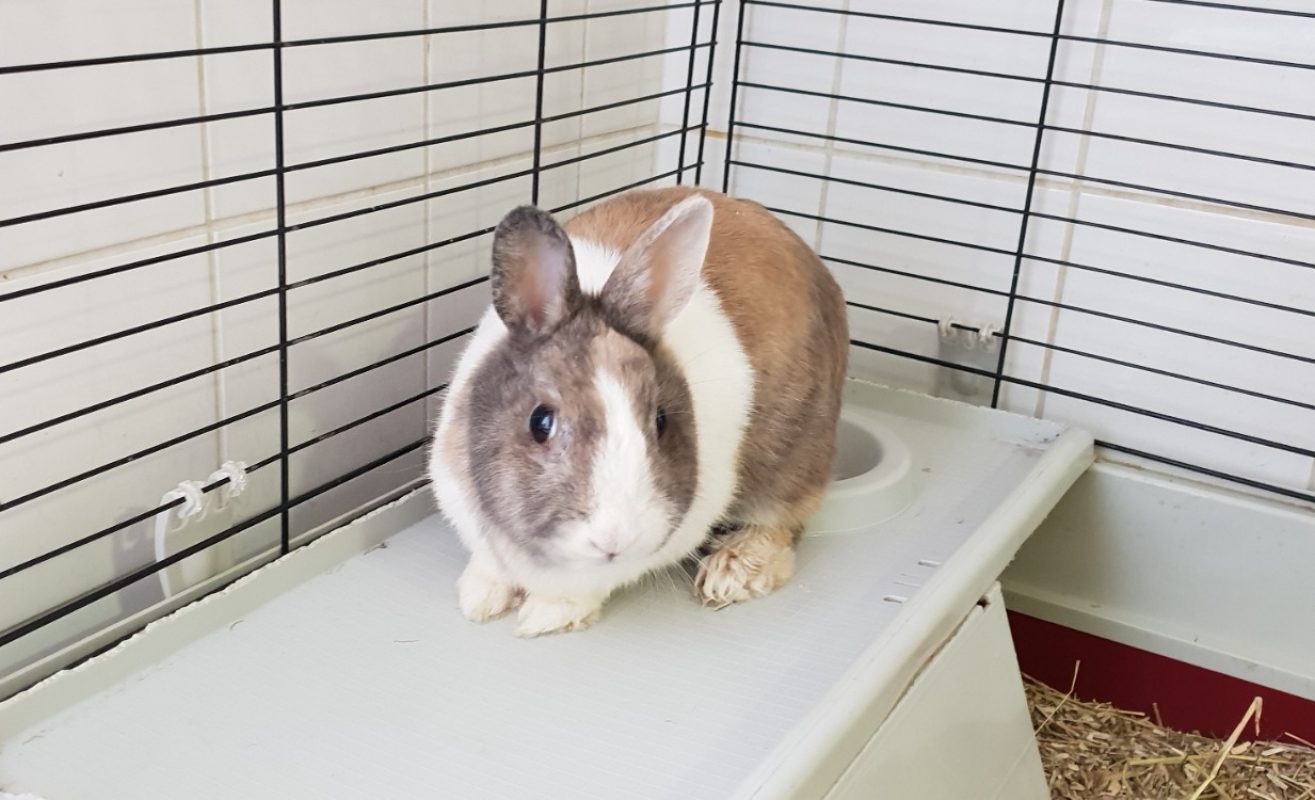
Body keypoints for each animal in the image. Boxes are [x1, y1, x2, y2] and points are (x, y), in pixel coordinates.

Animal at [428, 186, 848, 636]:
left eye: (661, 420)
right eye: (540, 422)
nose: (616, 540)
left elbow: (581, 588)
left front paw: (546, 617)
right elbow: (490, 567)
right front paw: (478, 599)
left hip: (795, 454)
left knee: (782, 525)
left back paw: (729, 573)